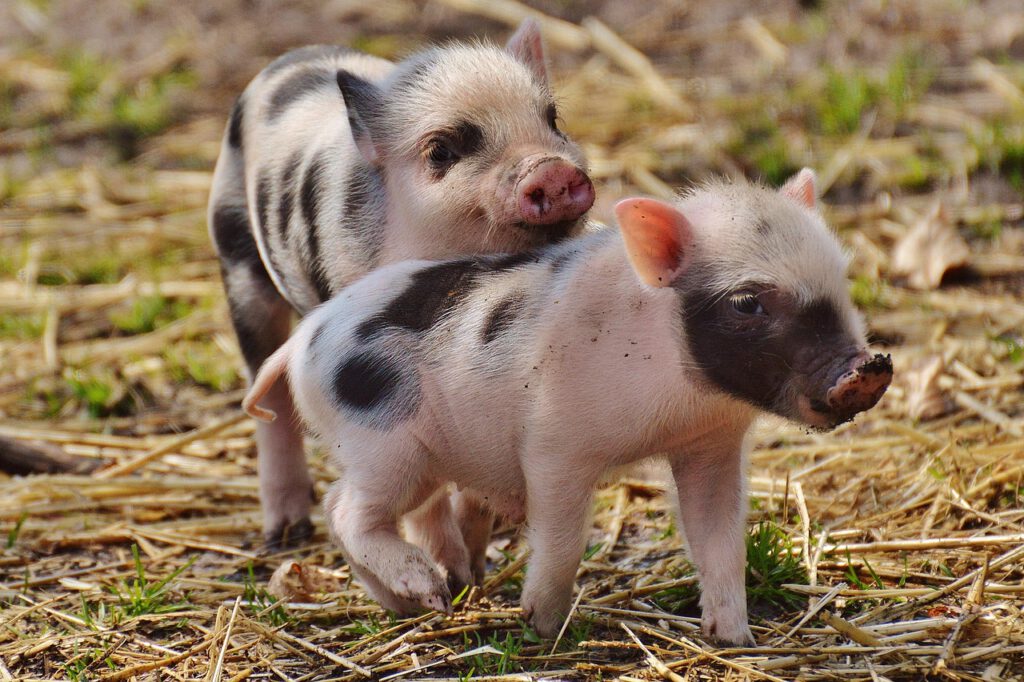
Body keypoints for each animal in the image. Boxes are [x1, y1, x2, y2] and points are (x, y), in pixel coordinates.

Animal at [207, 19, 594, 551]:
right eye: (442, 150)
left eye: (553, 119)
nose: (549, 168)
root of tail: (287, 58)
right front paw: (448, 566)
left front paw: (474, 549)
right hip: (238, 257)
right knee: (268, 394)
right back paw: (285, 534)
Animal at [242, 170, 893, 645]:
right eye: (748, 303)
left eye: (841, 278)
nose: (868, 369)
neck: (680, 399)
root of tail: (302, 341)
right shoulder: (554, 445)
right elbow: (562, 539)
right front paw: (540, 627)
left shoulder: (710, 447)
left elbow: (720, 540)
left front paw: (734, 640)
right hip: (384, 444)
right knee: (347, 511)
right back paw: (429, 591)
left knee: (347, 513)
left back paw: (414, 605)